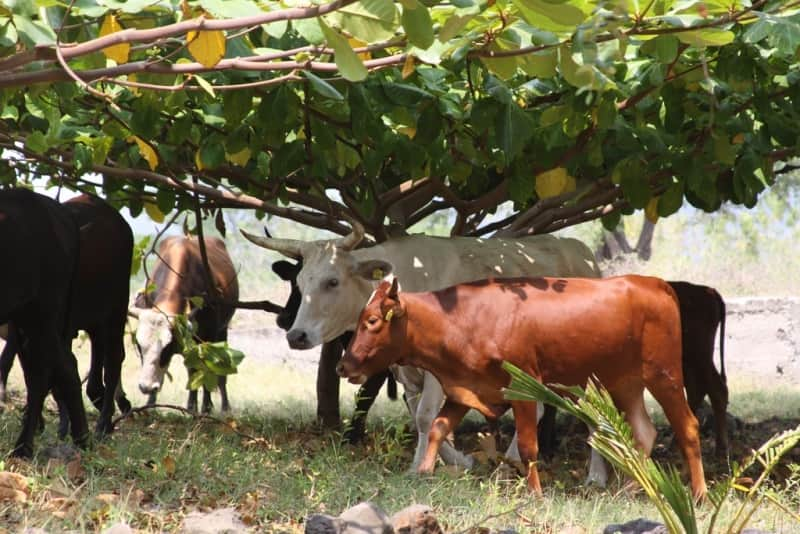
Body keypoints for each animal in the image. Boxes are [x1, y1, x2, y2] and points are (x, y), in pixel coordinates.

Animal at [0, 188, 88, 456]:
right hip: (28, 318)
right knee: (64, 365)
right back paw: (83, 439)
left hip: (42, 313)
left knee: (41, 374)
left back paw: (23, 447)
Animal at [130, 236, 238, 414]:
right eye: (139, 346)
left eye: (166, 348)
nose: (146, 387)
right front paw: (151, 405)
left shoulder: (207, 338)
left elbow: (205, 369)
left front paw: (205, 408)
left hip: (222, 331)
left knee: (221, 372)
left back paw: (224, 406)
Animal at [244, 224, 608, 480]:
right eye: (300, 283)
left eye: (332, 281)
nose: (297, 335)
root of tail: (583, 253)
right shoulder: (407, 374)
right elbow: (423, 414)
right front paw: (461, 460)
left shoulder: (439, 371)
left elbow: (424, 415)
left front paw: (420, 467)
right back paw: (513, 462)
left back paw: (594, 477)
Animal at [338, 276, 708, 502]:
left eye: (372, 321)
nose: (343, 366)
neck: (463, 319)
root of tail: (652, 283)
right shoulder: (464, 388)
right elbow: (438, 429)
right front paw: (424, 472)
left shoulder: (524, 389)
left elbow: (529, 446)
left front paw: (535, 493)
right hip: (623, 382)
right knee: (643, 432)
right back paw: (631, 489)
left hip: (664, 375)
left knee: (687, 427)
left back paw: (699, 494)